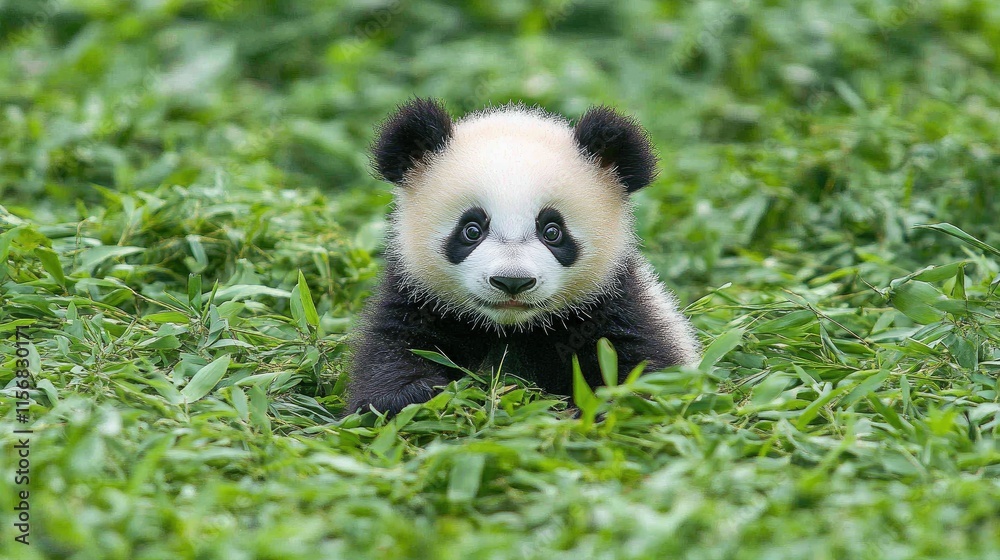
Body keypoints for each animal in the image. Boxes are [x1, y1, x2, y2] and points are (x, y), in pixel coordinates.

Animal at [347, 98, 700, 414]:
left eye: (553, 231)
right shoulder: (419, 298)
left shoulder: (614, 304)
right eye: (471, 230)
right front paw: (414, 395)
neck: (511, 328)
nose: (511, 282)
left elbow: (643, 367)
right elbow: (391, 354)